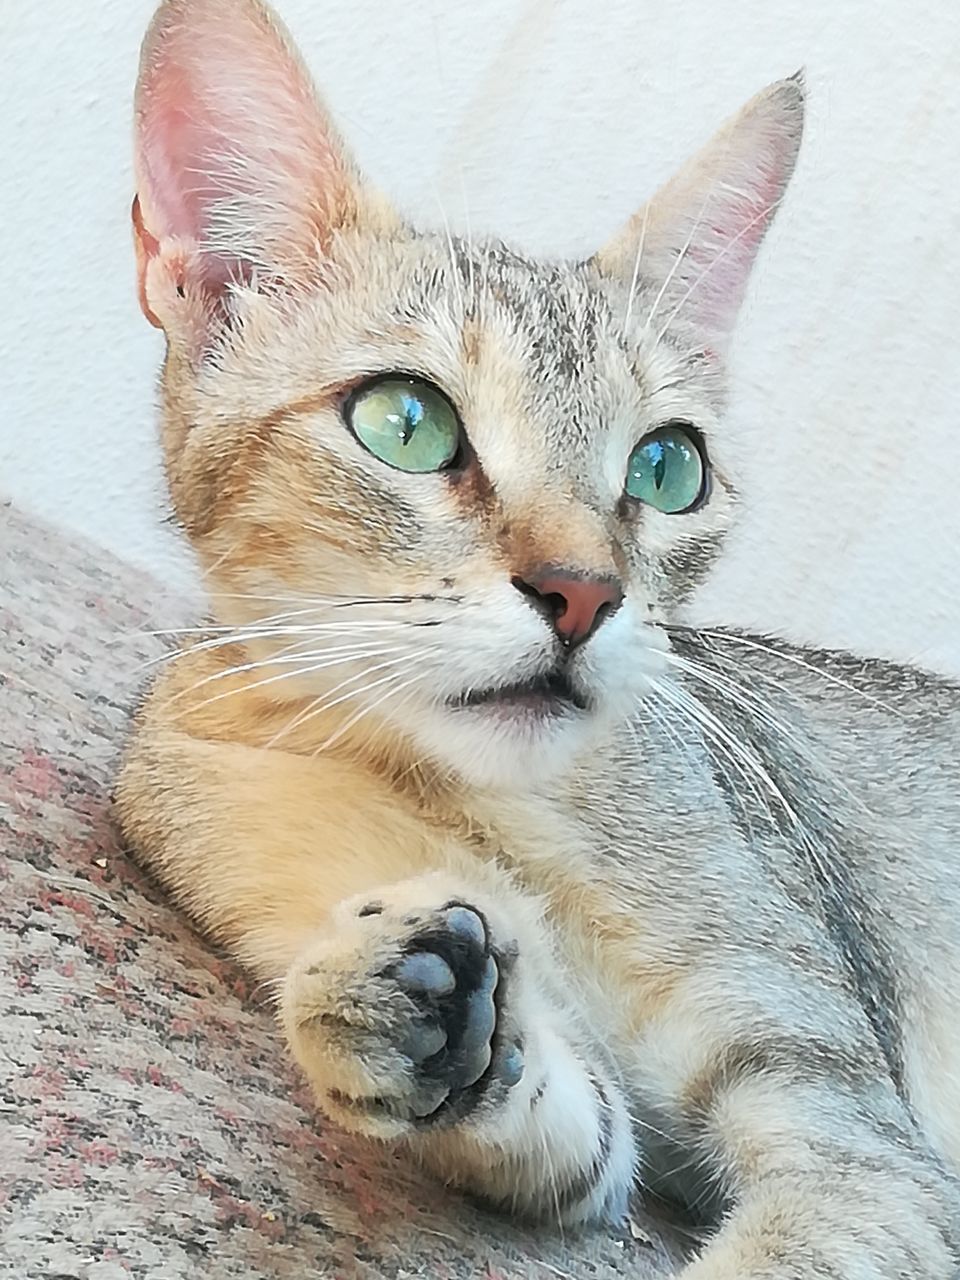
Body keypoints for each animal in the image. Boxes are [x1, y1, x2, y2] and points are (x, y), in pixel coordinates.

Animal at [118, 2, 960, 1269]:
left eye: (666, 466)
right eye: (405, 422)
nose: (582, 593)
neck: (508, 817)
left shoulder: (861, 1143)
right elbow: (568, 1123)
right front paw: (421, 1015)